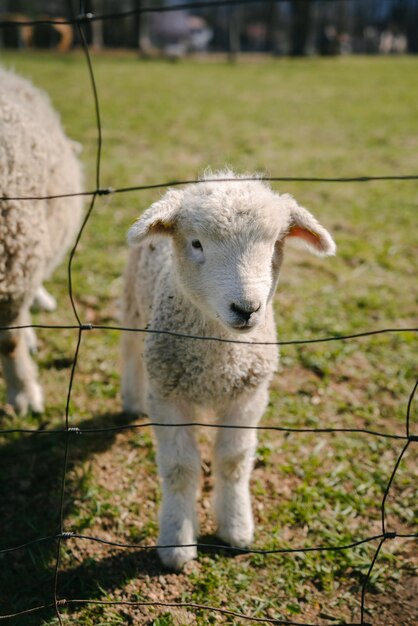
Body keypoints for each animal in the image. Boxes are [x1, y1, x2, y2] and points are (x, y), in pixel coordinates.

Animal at [121, 168, 336, 568]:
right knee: (128, 348)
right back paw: (130, 398)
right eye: (196, 244)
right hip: (132, 301)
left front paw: (236, 527)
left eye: (275, 245)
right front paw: (176, 542)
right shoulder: (168, 397)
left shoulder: (248, 396)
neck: (218, 359)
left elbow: (233, 461)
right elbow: (180, 468)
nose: (246, 308)